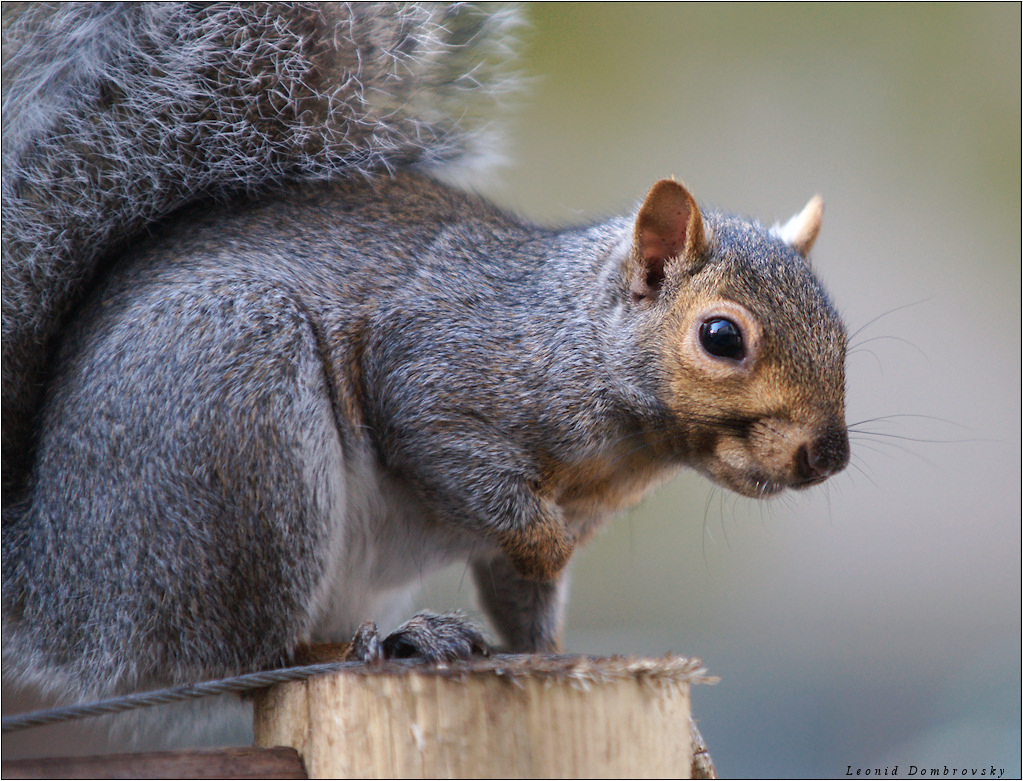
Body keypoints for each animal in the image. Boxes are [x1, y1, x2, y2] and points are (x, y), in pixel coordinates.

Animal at [0, 0, 847, 720]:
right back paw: (370, 643)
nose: (827, 455)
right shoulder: (437, 369)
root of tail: (49, 586)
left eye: (840, 333)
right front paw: (548, 546)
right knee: (242, 659)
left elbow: (523, 594)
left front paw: (549, 648)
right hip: (239, 437)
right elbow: (454, 458)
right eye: (721, 337)